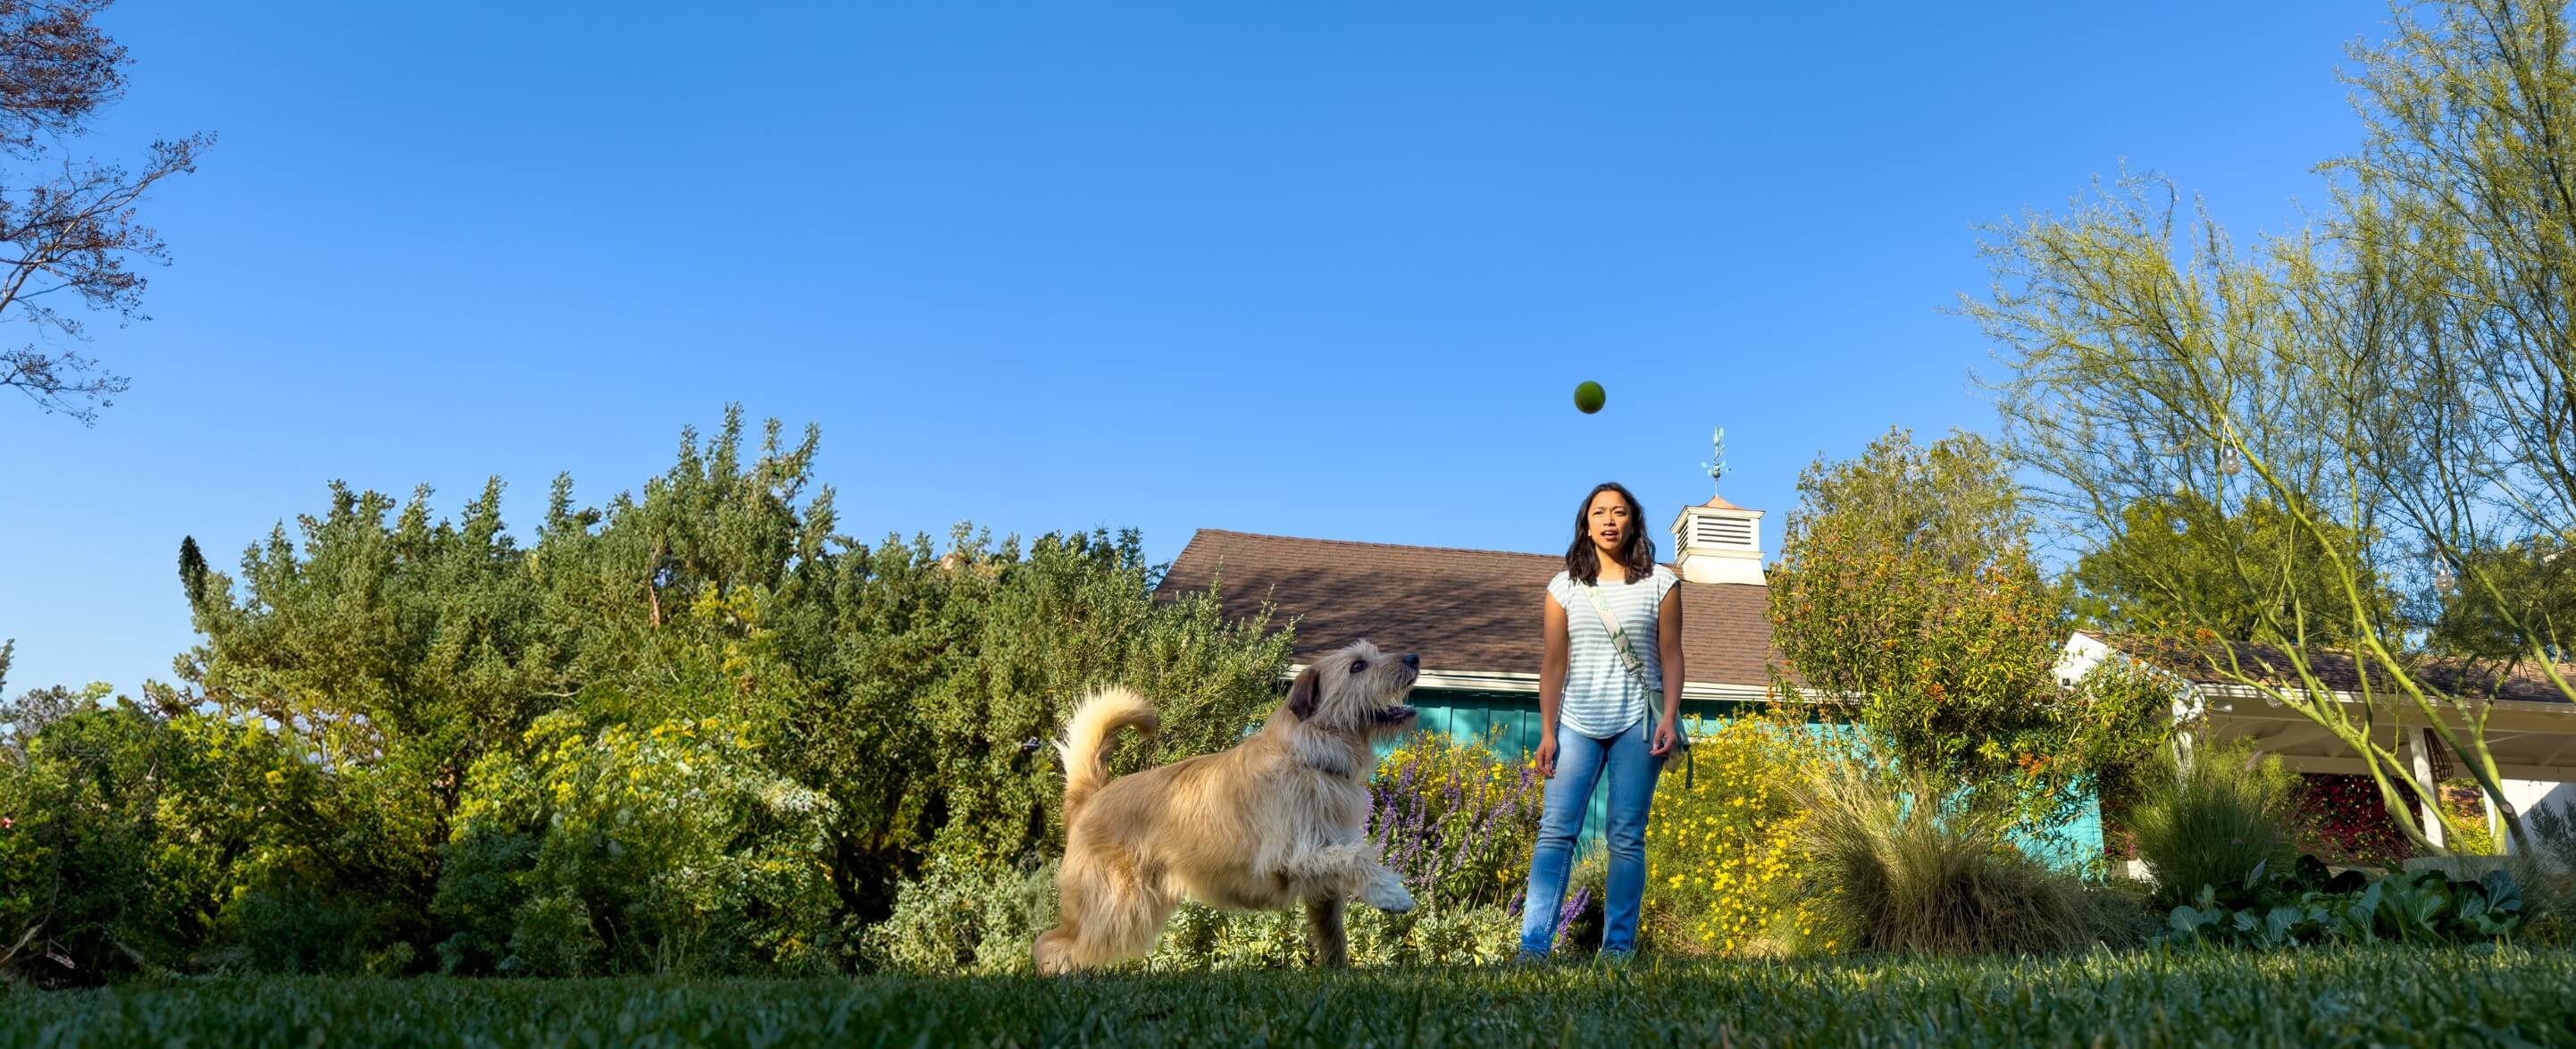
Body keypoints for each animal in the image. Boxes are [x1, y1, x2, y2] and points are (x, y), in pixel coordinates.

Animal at [1030, 642, 1432, 979]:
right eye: (1357, 666)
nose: (1414, 658)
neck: (1307, 756)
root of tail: (1091, 796)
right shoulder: (1291, 855)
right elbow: (1357, 856)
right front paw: (1391, 893)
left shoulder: (1322, 880)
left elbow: (1333, 933)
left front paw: (1339, 974)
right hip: (1115, 907)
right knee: (1050, 944)